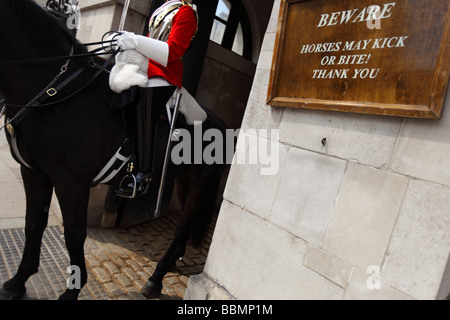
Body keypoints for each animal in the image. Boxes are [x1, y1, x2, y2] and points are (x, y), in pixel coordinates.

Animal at [0, 0, 225, 300]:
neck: (57, 92)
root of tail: (220, 121)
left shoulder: (72, 182)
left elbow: (74, 234)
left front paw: (72, 291)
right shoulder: (34, 174)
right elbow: (34, 224)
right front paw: (18, 280)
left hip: (201, 182)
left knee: (181, 229)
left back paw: (155, 280)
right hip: (183, 180)